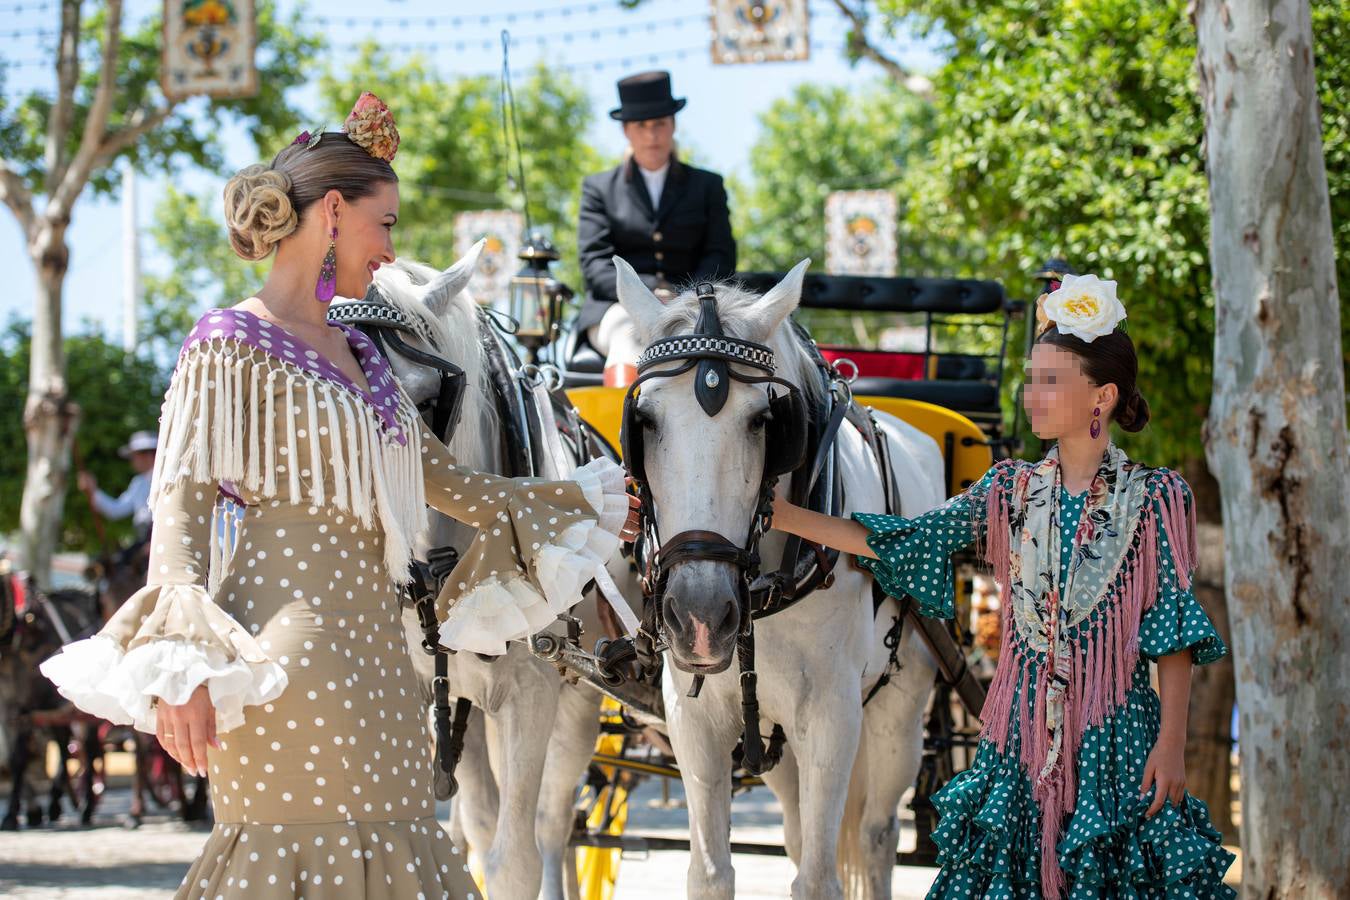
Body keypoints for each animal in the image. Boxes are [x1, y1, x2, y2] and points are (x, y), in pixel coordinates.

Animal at [364, 249, 626, 900]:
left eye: (426, 397)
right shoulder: (433, 695)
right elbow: (477, 833)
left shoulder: (531, 692)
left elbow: (514, 861)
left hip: (577, 699)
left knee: (552, 823)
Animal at [615, 259, 945, 900]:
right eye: (643, 421)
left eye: (764, 422)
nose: (699, 618)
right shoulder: (693, 718)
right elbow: (711, 873)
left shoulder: (834, 716)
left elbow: (818, 879)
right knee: (795, 832)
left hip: (899, 714)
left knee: (877, 837)